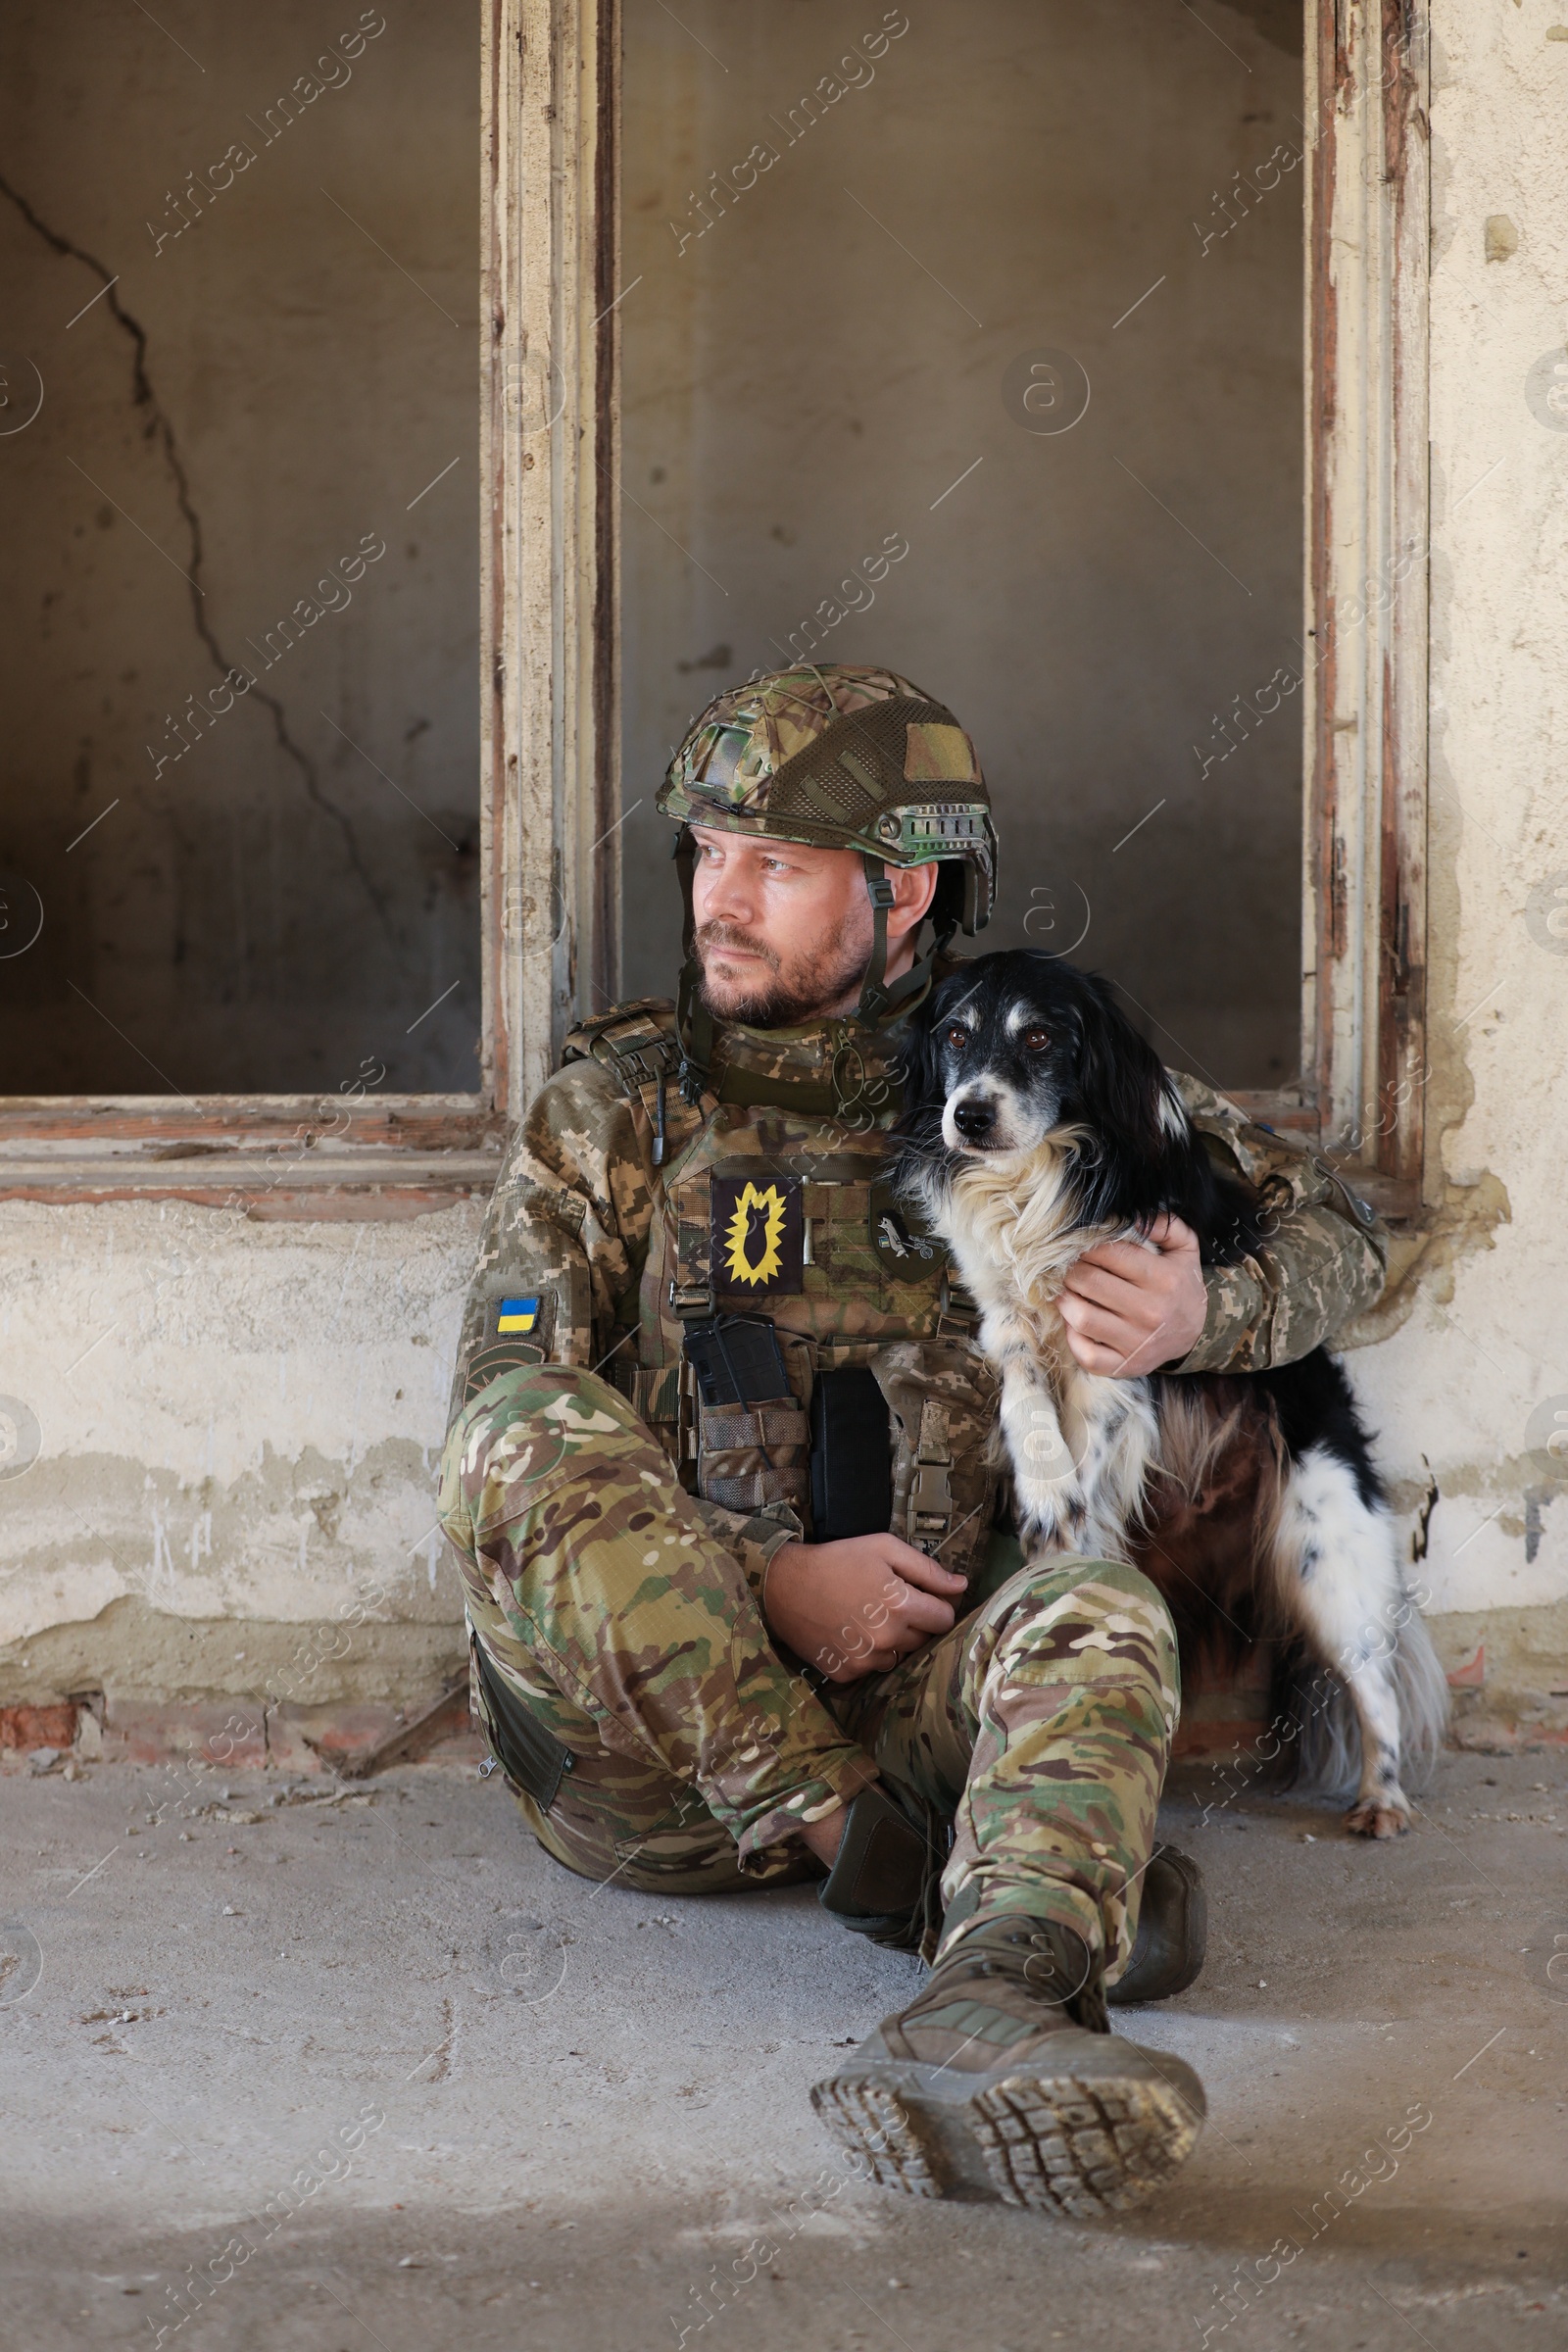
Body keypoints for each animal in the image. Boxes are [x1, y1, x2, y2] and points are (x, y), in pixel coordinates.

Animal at [893, 950, 1447, 1835]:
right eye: (953, 1035)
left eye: (1040, 1038)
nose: (969, 1115)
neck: (1040, 1176)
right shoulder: (1006, 1317)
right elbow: (1025, 1400)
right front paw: (1045, 1491)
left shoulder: (1116, 1351)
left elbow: (1087, 1455)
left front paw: (1064, 1549)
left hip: (1326, 1555)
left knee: (1376, 1686)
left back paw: (1382, 1799)